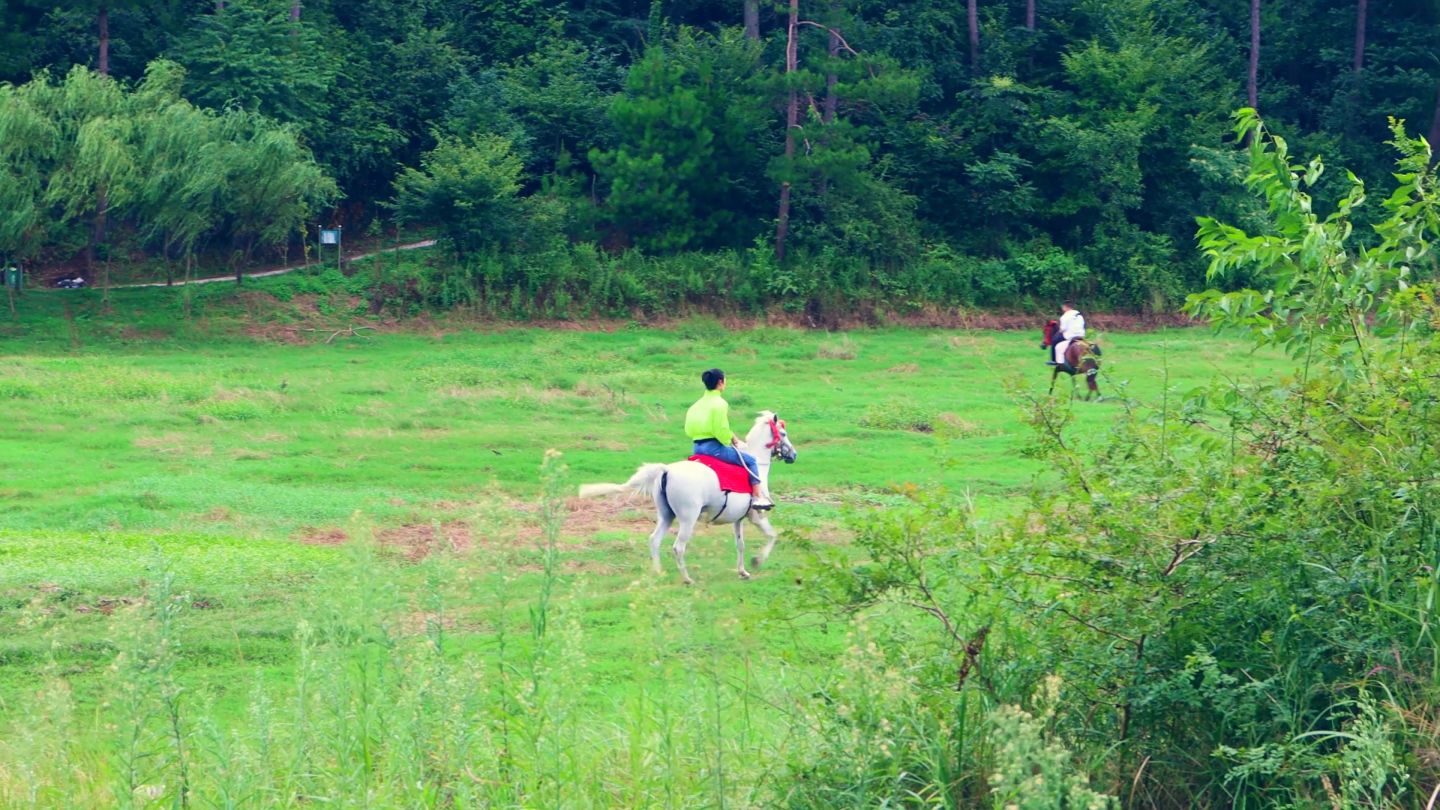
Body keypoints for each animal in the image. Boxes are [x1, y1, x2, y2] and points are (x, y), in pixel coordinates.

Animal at [576, 409, 800, 579]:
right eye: (784, 434)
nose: (794, 455)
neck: (757, 466)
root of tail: (666, 470)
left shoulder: (739, 519)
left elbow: (740, 545)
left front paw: (743, 571)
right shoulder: (757, 515)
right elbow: (773, 536)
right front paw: (757, 562)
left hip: (666, 515)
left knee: (654, 540)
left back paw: (658, 572)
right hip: (687, 519)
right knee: (678, 547)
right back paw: (686, 579)